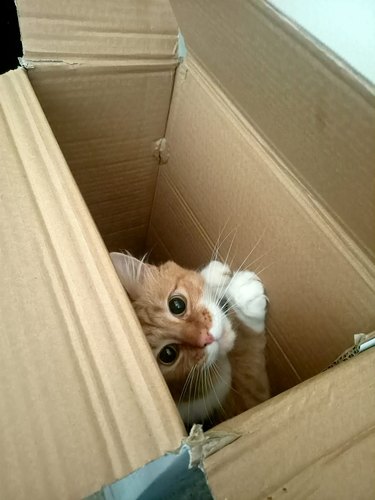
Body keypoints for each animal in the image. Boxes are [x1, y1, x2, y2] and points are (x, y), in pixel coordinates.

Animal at [109, 254, 270, 426]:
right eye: (168, 354)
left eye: (177, 305)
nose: (205, 337)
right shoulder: (244, 400)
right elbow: (247, 349)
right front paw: (243, 294)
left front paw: (212, 276)